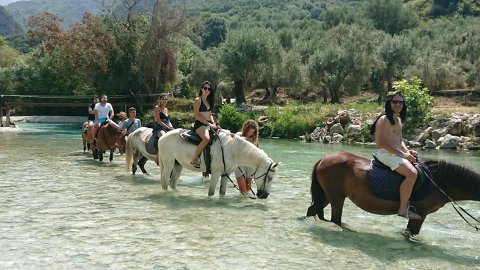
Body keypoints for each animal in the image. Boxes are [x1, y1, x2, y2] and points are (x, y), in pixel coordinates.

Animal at [308, 152, 480, 234]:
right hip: (336, 197)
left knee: (312, 211)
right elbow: (412, 234)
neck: (438, 181)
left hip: (326, 196)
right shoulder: (420, 214)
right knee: (335, 219)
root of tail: (323, 159)